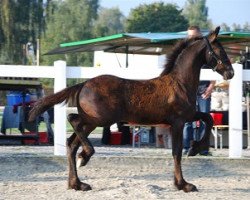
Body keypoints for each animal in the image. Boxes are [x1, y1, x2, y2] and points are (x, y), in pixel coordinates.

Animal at [29, 27, 234, 192]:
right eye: (219, 50)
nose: (230, 73)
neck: (180, 84)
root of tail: (83, 84)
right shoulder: (178, 121)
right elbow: (176, 152)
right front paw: (184, 184)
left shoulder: (189, 116)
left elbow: (208, 118)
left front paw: (195, 148)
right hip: (99, 119)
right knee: (73, 120)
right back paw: (85, 156)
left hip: (93, 121)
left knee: (71, 143)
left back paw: (77, 183)